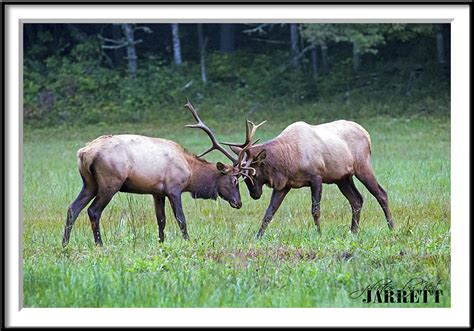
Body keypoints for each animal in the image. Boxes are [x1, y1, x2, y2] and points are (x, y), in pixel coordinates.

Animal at [226, 120, 392, 237]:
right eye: (242, 176)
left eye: (253, 173)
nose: (255, 195)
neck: (288, 160)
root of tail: (367, 135)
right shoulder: (284, 185)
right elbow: (269, 212)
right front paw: (258, 236)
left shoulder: (316, 176)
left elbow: (315, 210)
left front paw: (319, 233)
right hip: (342, 178)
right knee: (357, 200)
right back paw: (353, 231)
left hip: (363, 167)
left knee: (381, 193)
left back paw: (391, 228)